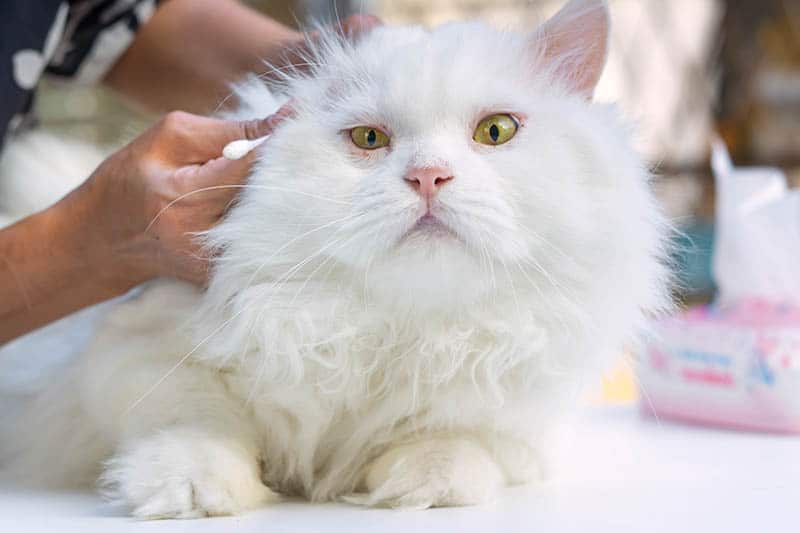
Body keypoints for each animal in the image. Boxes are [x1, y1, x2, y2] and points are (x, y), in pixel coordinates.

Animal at [0, 0, 672, 516]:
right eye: (370, 140)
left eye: (496, 132)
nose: (429, 176)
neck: (394, 329)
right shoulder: (141, 349)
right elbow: (196, 421)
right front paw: (192, 493)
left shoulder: (515, 406)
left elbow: (455, 438)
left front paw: (422, 486)